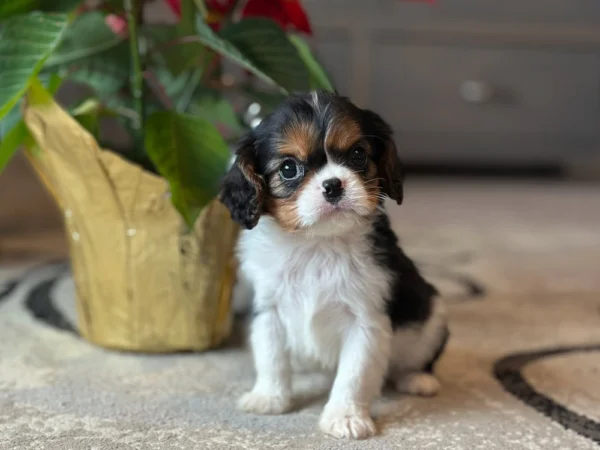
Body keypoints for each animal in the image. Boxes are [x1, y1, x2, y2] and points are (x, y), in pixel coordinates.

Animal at [218, 91, 448, 440]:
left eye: (357, 155)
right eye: (289, 168)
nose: (333, 185)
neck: (317, 244)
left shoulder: (365, 321)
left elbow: (353, 375)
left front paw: (345, 416)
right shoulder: (269, 310)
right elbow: (271, 356)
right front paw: (269, 397)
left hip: (432, 316)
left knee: (418, 358)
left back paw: (417, 378)